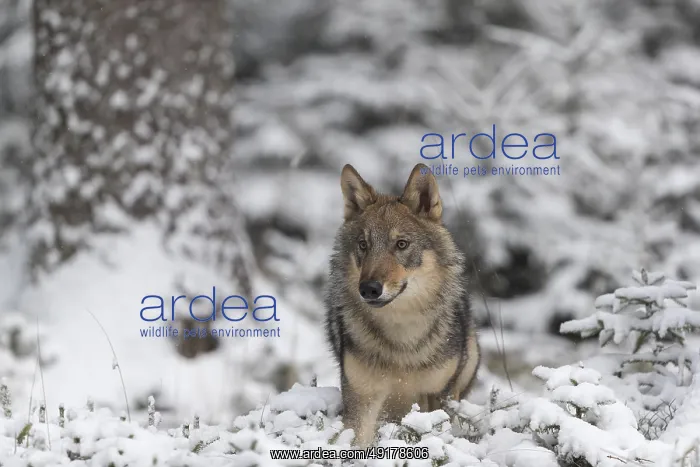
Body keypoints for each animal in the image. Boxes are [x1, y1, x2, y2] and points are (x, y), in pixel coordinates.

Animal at [324, 163, 480, 447]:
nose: (369, 289)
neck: (402, 342)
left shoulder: (435, 395)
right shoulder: (362, 398)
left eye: (401, 244)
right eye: (363, 245)